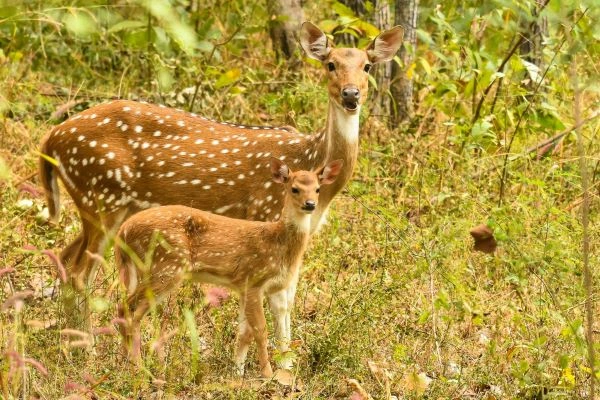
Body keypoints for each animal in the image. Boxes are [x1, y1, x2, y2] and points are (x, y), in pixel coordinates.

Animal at [116, 158, 342, 376]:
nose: (310, 204)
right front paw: (267, 374)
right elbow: (260, 330)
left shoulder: (247, 287)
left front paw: (237, 374)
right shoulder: (253, 280)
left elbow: (244, 333)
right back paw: (138, 367)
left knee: (125, 308)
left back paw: (129, 363)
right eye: (294, 188)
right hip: (167, 266)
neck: (279, 244)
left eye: (318, 189)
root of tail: (123, 231)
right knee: (129, 310)